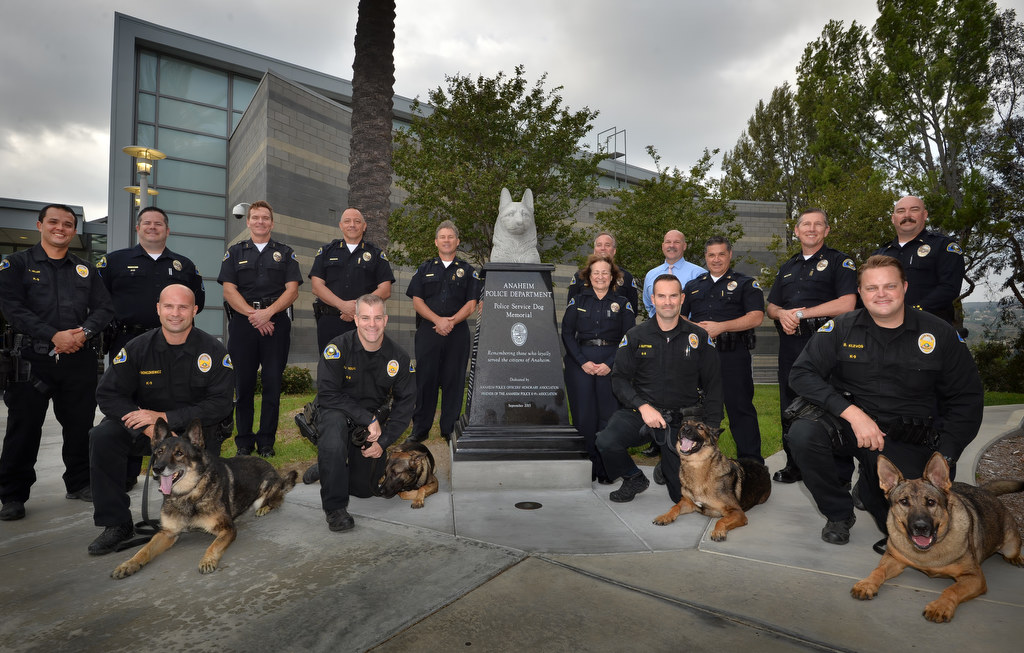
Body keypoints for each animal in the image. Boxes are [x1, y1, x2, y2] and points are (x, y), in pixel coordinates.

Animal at [112, 417, 299, 581]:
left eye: (179, 453)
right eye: (159, 452)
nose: (157, 469)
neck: (189, 494)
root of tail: (272, 467)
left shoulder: (227, 529)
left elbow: (214, 545)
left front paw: (207, 560)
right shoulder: (167, 533)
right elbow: (145, 549)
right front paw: (128, 564)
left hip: (266, 490)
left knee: (277, 499)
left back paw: (264, 508)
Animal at [847, 452, 1024, 622]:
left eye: (931, 502)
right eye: (904, 501)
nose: (920, 527)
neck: (928, 553)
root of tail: (984, 490)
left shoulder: (974, 577)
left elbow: (952, 589)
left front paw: (941, 606)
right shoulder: (894, 559)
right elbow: (878, 570)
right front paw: (867, 584)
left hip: (1009, 546)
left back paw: (1017, 558)